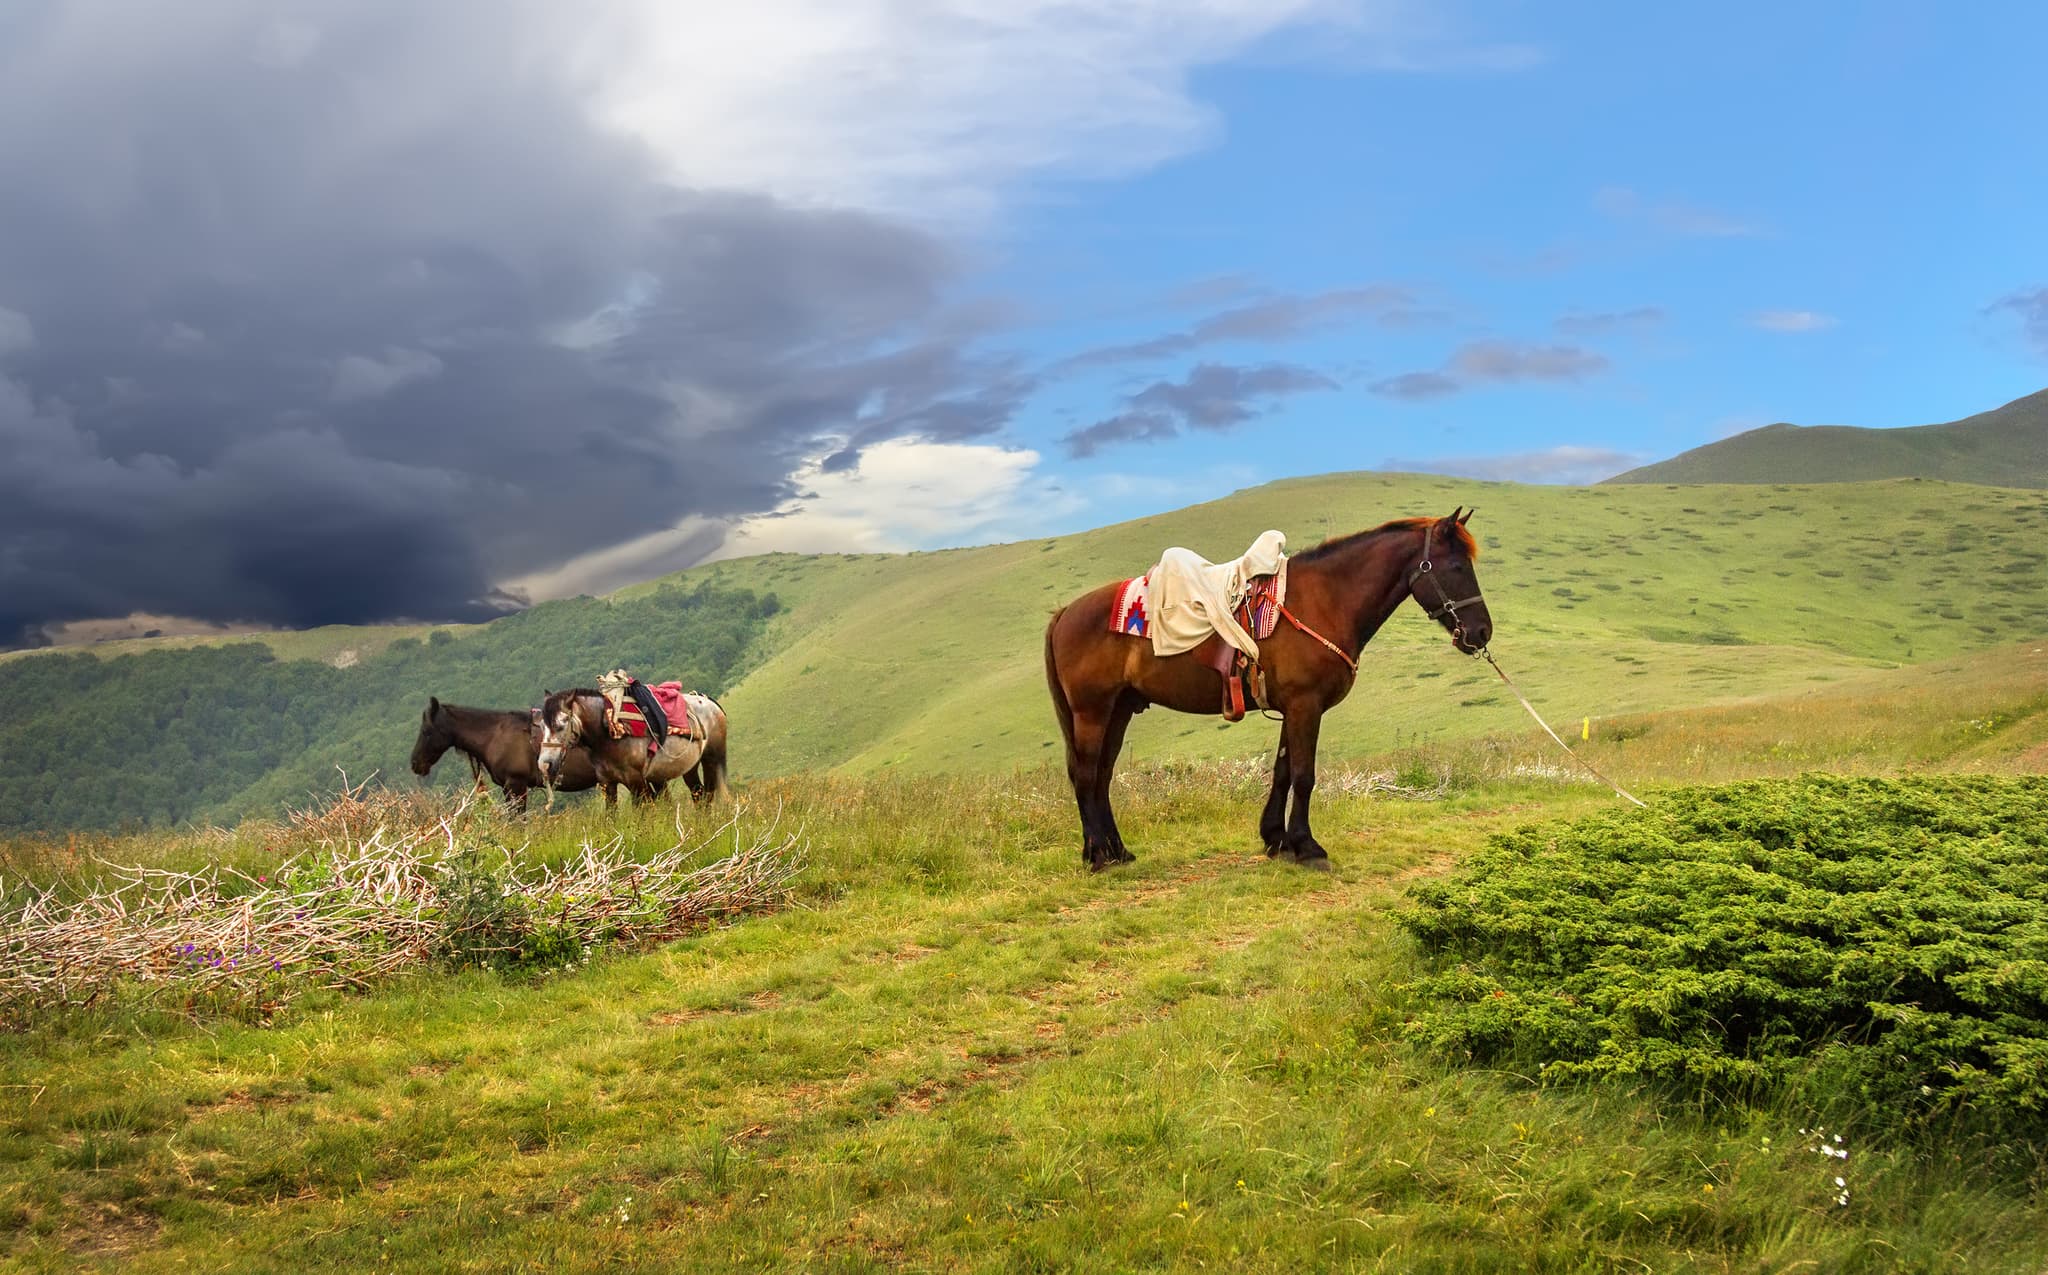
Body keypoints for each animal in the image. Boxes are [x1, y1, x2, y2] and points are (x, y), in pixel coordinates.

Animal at [535, 688, 731, 809]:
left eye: (561, 725)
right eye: (542, 726)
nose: (545, 764)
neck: (610, 734)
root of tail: (710, 702)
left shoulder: (636, 781)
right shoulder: (608, 783)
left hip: (710, 760)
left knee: (708, 795)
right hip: (689, 766)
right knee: (698, 793)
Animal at [1044, 508, 1493, 872]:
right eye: (1455, 566)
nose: (1482, 632)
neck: (1325, 599)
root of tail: (1065, 613)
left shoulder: (1294, 707)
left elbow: (1282, 771)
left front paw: (1277, 839)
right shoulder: (1305, 705)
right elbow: (1304, 775)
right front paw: (1308, 847)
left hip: (1118, 710)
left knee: (1102, 776)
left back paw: (1117, 851)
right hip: (1092, 711)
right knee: (1086, 775)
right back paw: (1098, 855)